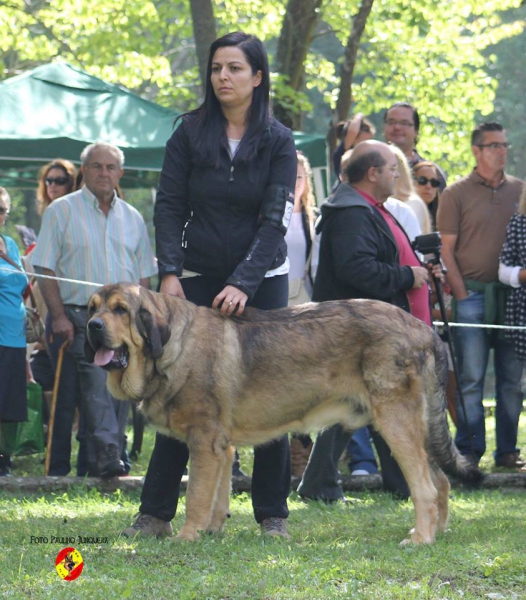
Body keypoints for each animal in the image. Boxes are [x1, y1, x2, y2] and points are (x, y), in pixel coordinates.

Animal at [85, 284, 482, 548]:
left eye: (120, 310)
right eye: (92, 308)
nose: (92, 326)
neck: (170, 349)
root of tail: (425, 330)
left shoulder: (204, 442)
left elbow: (197, 494)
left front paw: (187, 537)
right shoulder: (222, 448)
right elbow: (218, 496)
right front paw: (211, 532)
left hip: (396, 423)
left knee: (425, 487)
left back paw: (421, 540)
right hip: (413, 427)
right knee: (441, 482)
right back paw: (433, 532)